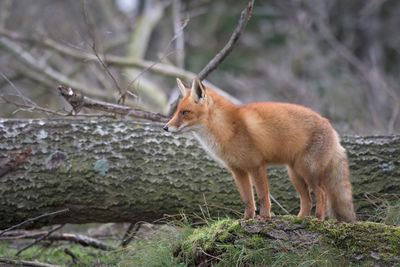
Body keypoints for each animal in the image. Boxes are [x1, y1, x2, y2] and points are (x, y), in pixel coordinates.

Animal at [162, 78, 356, 224]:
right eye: (177, 111)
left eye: (185, 112)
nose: (165, 127)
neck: (228, 129)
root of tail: (330, 126)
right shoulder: (238, 170)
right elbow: (248, 199)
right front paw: (246, 219)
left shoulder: (256, 165)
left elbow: (263, 196)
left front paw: (264, 218)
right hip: (295, 175)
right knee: (307, 200)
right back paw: (300, 219)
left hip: (308, 171)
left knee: (322, 194)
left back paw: (318, 219)